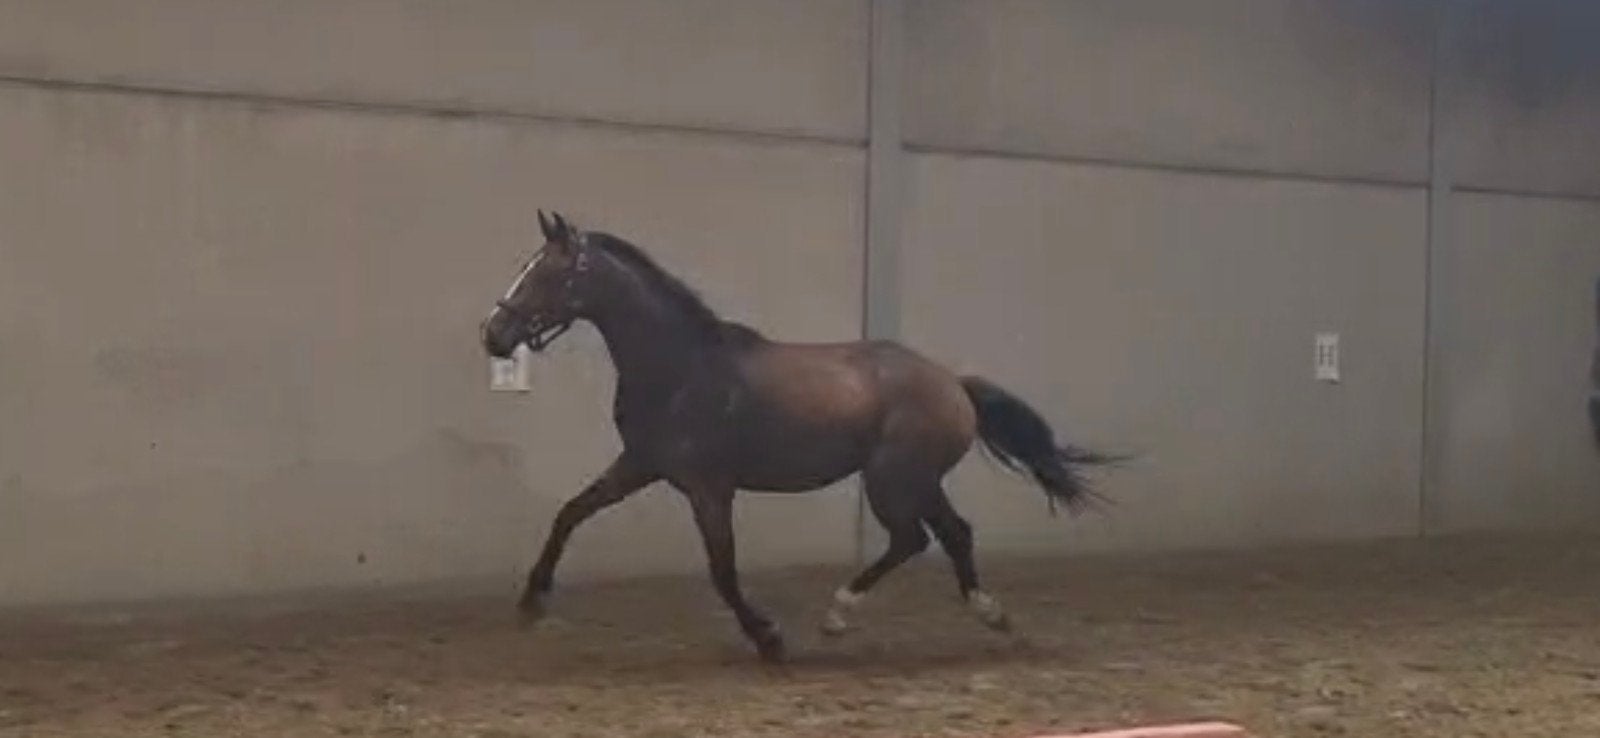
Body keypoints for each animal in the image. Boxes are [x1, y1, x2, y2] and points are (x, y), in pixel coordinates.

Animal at [480, 211, 1122, 662]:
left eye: (549, 272)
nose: (493, 333)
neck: (680, 368)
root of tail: (953, 384)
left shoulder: (709, 488)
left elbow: (723, 570)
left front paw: (768, 637)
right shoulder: (641, 465)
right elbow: (570, 513)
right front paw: (530, 602)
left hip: (892, 480)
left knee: (913, 539)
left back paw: (838, 616)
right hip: (914, 481)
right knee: (952, 534)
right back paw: (991, 616)